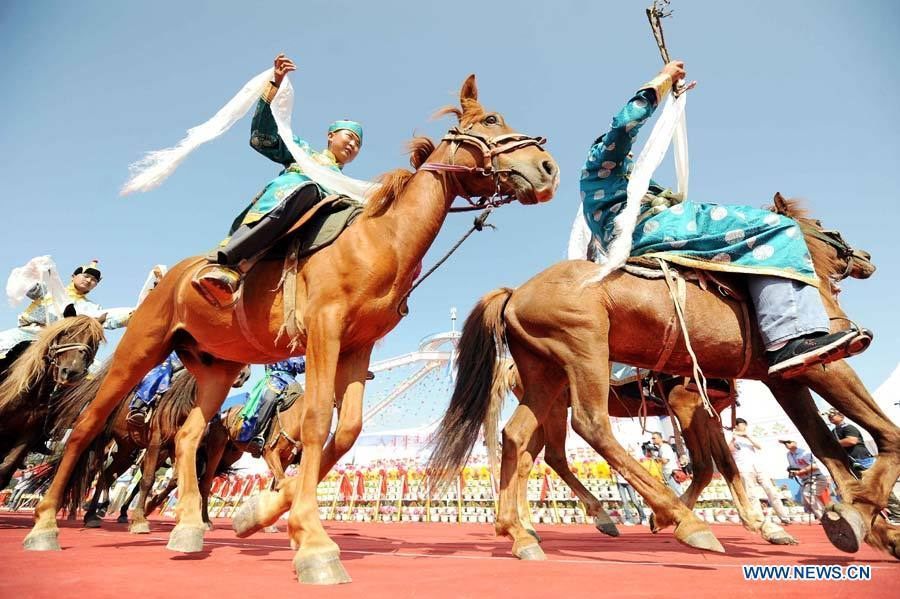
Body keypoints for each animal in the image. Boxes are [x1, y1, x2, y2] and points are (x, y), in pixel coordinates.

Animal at [0, 312, 104, 490]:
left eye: (95, 342)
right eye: (67, 332)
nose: (72, 372)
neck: (33, 394)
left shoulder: (28, 434)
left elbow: (5, 470)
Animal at [24, 75, 560, 584]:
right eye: (491, 119)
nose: (548, 168)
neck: (382, 238)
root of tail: (173, 276)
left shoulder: (359, 347)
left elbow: (347, 431)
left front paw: (259, 514)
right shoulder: (324, 329)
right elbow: (318, 420)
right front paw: (314, 544)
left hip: (218, 367)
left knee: (189, 437)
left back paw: (189, 526)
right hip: (144, 346)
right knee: (88, 426)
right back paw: (47, 524)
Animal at [496, 358, 800, 552]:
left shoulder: (709, 410)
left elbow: (726, 465)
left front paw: (765, 526)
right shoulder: (683, 401)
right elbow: (703, 467)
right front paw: (667, 517)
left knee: (526, 460)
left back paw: (529, 527)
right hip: (555, 403)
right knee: (554, 455)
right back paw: (600, 519)